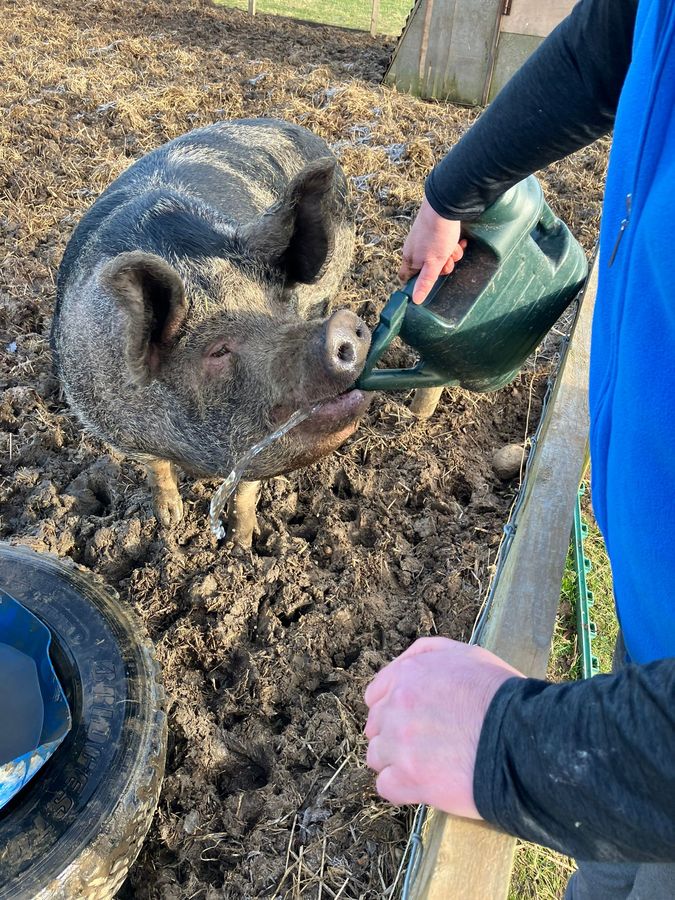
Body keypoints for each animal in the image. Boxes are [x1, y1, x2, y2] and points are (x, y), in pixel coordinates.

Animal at [51, 119, 372, 546]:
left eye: (285, 308)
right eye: (218, 350)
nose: (344, 327)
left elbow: (248, 486)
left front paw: (241, 543)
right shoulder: (110, 423)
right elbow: (157, 469)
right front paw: (169, 523)